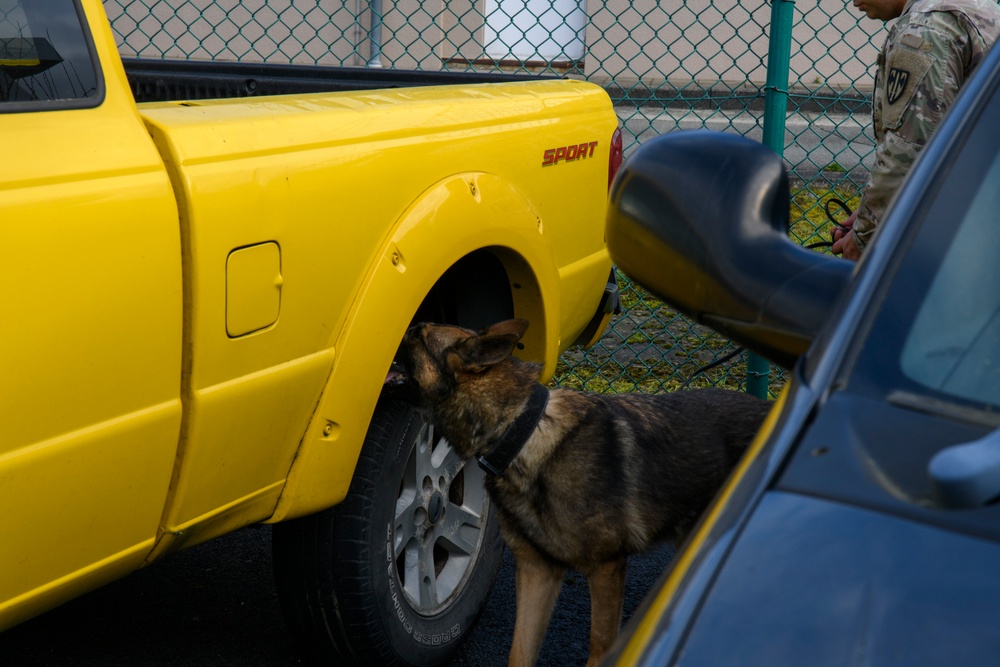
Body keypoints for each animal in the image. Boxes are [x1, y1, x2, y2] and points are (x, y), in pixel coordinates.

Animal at [386, 320, 768, 667]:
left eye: (418, 334)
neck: (522, 431)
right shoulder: (538, 571)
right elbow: (519, 652)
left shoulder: (606, 569)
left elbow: (599, 648)